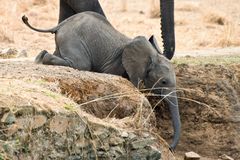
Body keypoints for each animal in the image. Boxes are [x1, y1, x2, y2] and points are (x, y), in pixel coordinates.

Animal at [22, 11, 180, 150]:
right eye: (164, 82)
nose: (170, 147)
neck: (151, 55)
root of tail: (60, 24)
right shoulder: (117, 65)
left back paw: (39, 58)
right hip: (73, 40)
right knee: (81, 64)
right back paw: (41, 60)